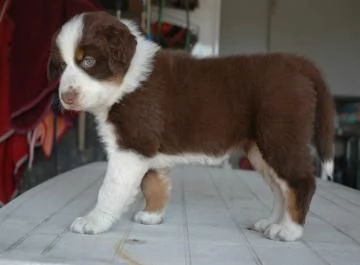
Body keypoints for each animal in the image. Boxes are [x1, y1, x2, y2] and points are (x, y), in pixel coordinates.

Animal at [47, 11, 334, 240]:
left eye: (88, 61)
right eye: (60, 66)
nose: (66, 97)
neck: (125, 82)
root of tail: (296, 62)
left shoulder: (132, 145)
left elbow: (111, 189)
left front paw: (93, 221)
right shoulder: (147, 149)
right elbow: (153, 183)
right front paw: (152, 216)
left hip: (279, 136)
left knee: (300, 182)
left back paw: (289, 230)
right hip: (261, 149)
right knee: (280, 189)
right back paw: (271, 222)